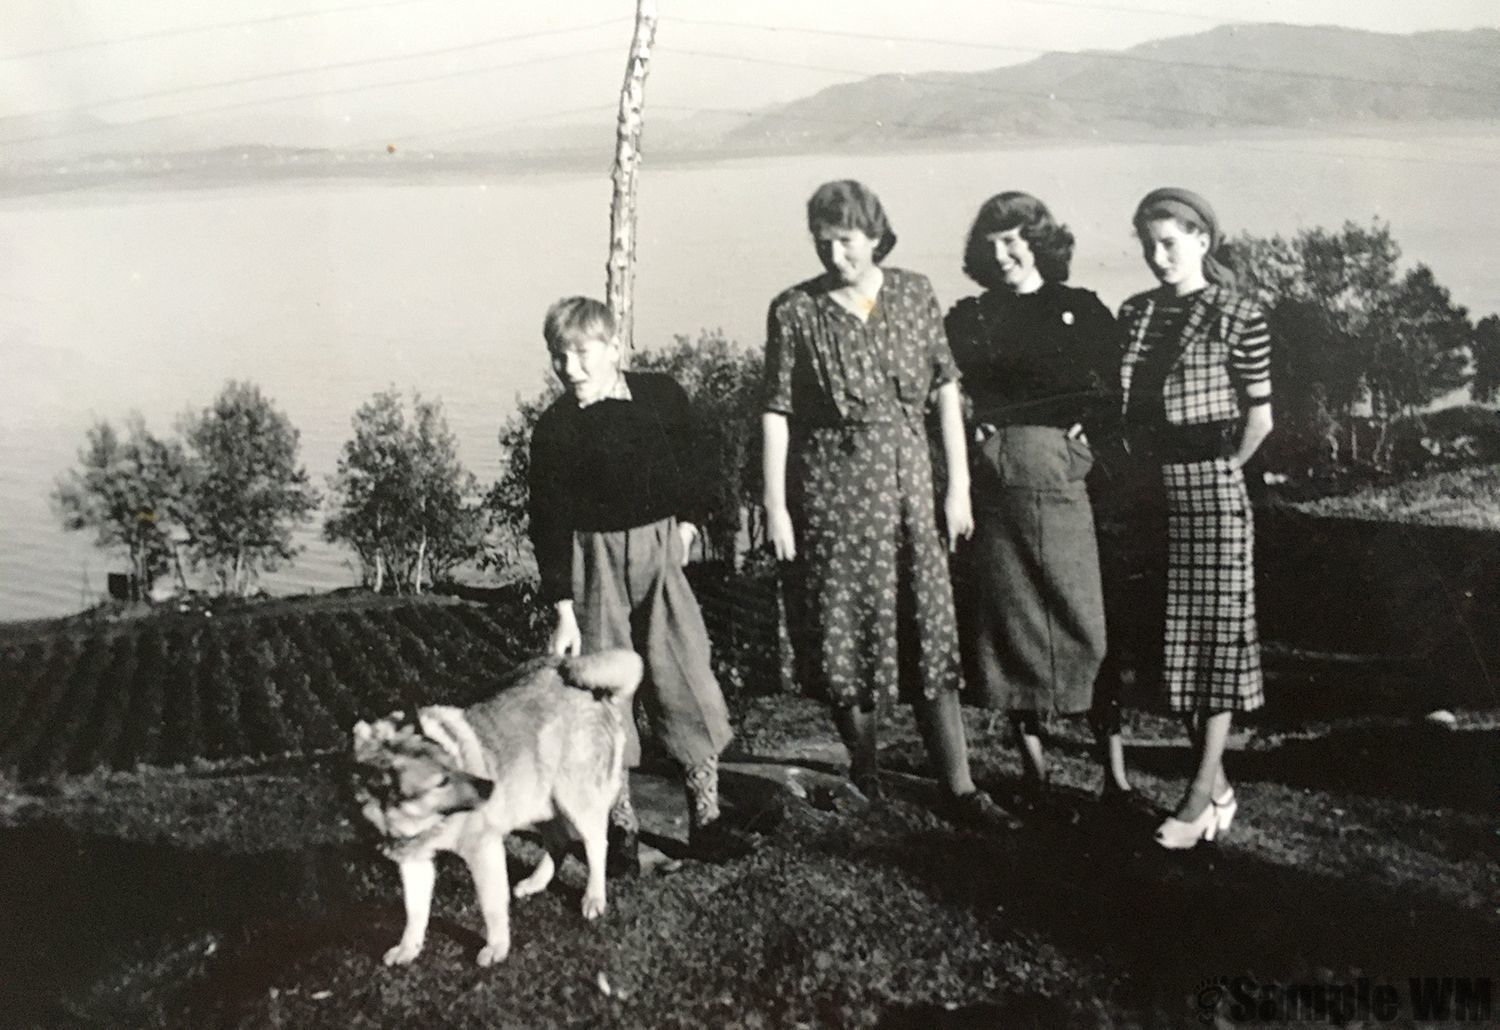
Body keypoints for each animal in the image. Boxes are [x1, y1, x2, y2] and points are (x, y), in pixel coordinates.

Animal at [352, 653, 645, 965]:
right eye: (441, 782)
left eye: (453, 763)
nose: (489, 787)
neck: (424, 819)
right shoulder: (414, 861)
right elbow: (415, 911)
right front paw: (409, 947)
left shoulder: (483, 848)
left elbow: (491, 905)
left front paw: (497, 947)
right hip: (536, 798)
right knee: (559, 842)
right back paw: (536, 882)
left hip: (576, 799)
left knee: (596, 846)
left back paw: (594, 897)